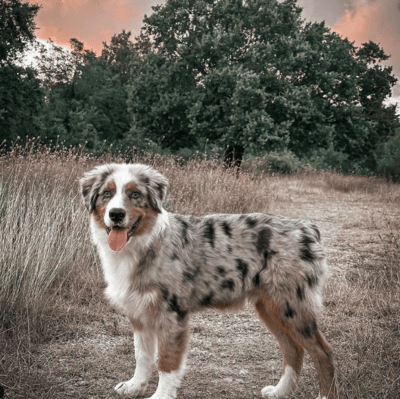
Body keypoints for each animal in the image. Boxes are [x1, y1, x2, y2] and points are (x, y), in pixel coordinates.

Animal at [79, 163, 336, 399]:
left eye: (135, 195)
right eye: (106, 193)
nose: (116, 214)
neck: (143, 244)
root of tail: (307, 227)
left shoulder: (172, 315)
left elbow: (167, 363)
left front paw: (161, 395)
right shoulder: (140, 312)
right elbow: (142, 356)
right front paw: (134, 386)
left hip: (293, 305)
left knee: (323, 352)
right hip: (271, 307)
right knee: (293, 349)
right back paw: (280, 391)